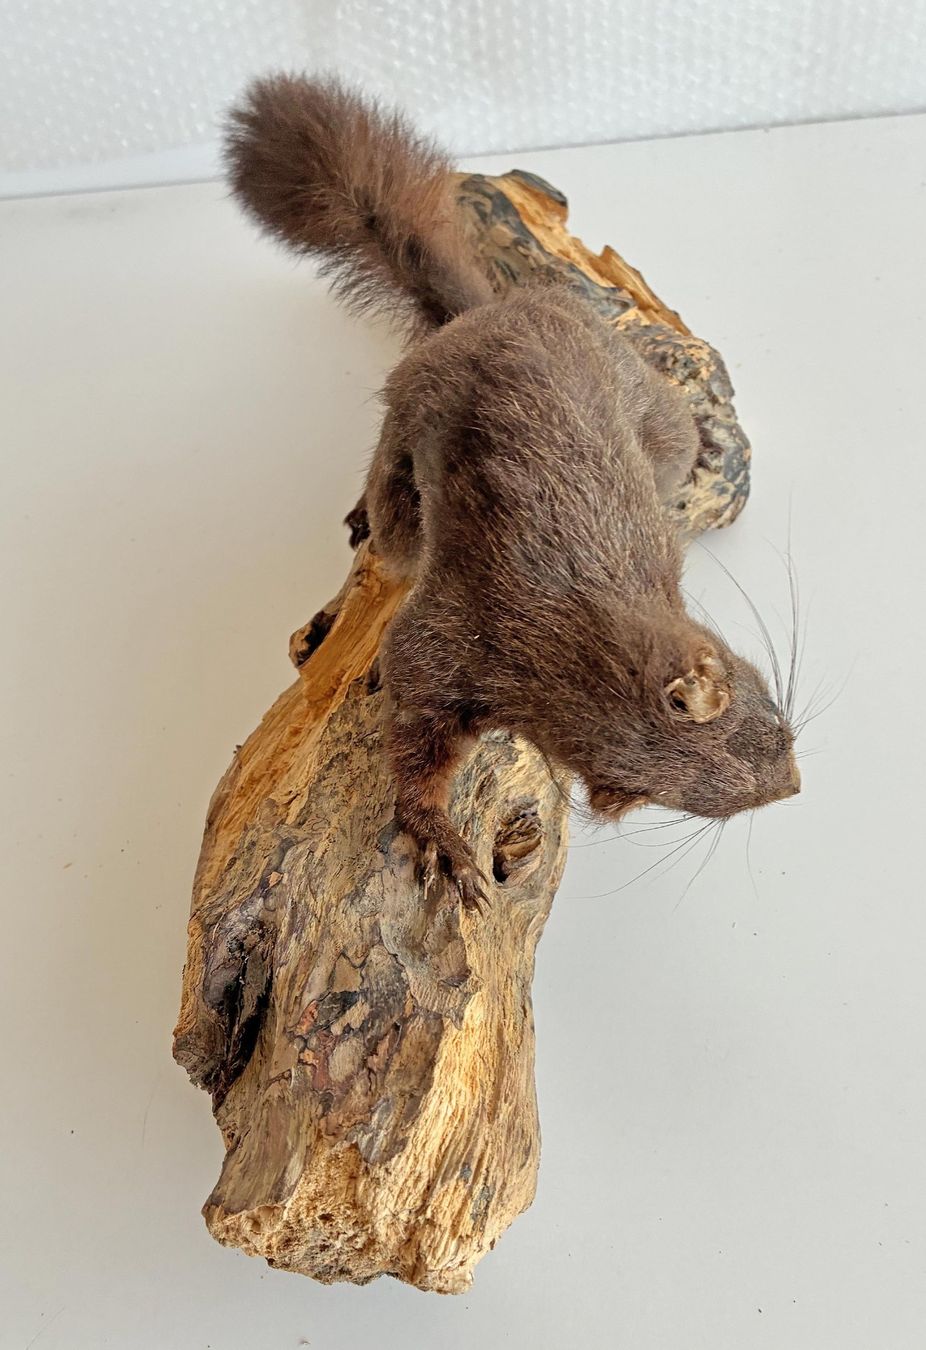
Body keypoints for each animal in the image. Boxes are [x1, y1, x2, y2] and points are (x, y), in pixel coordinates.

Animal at [224, 74, 801, 909]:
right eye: (769, 731)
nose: (795, 783)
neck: (580, 643)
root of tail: (491, 308)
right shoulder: (457, 640)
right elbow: (411, 721)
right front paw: (437, 836)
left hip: (645, 410)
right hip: (413, 425)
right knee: (392, 509)